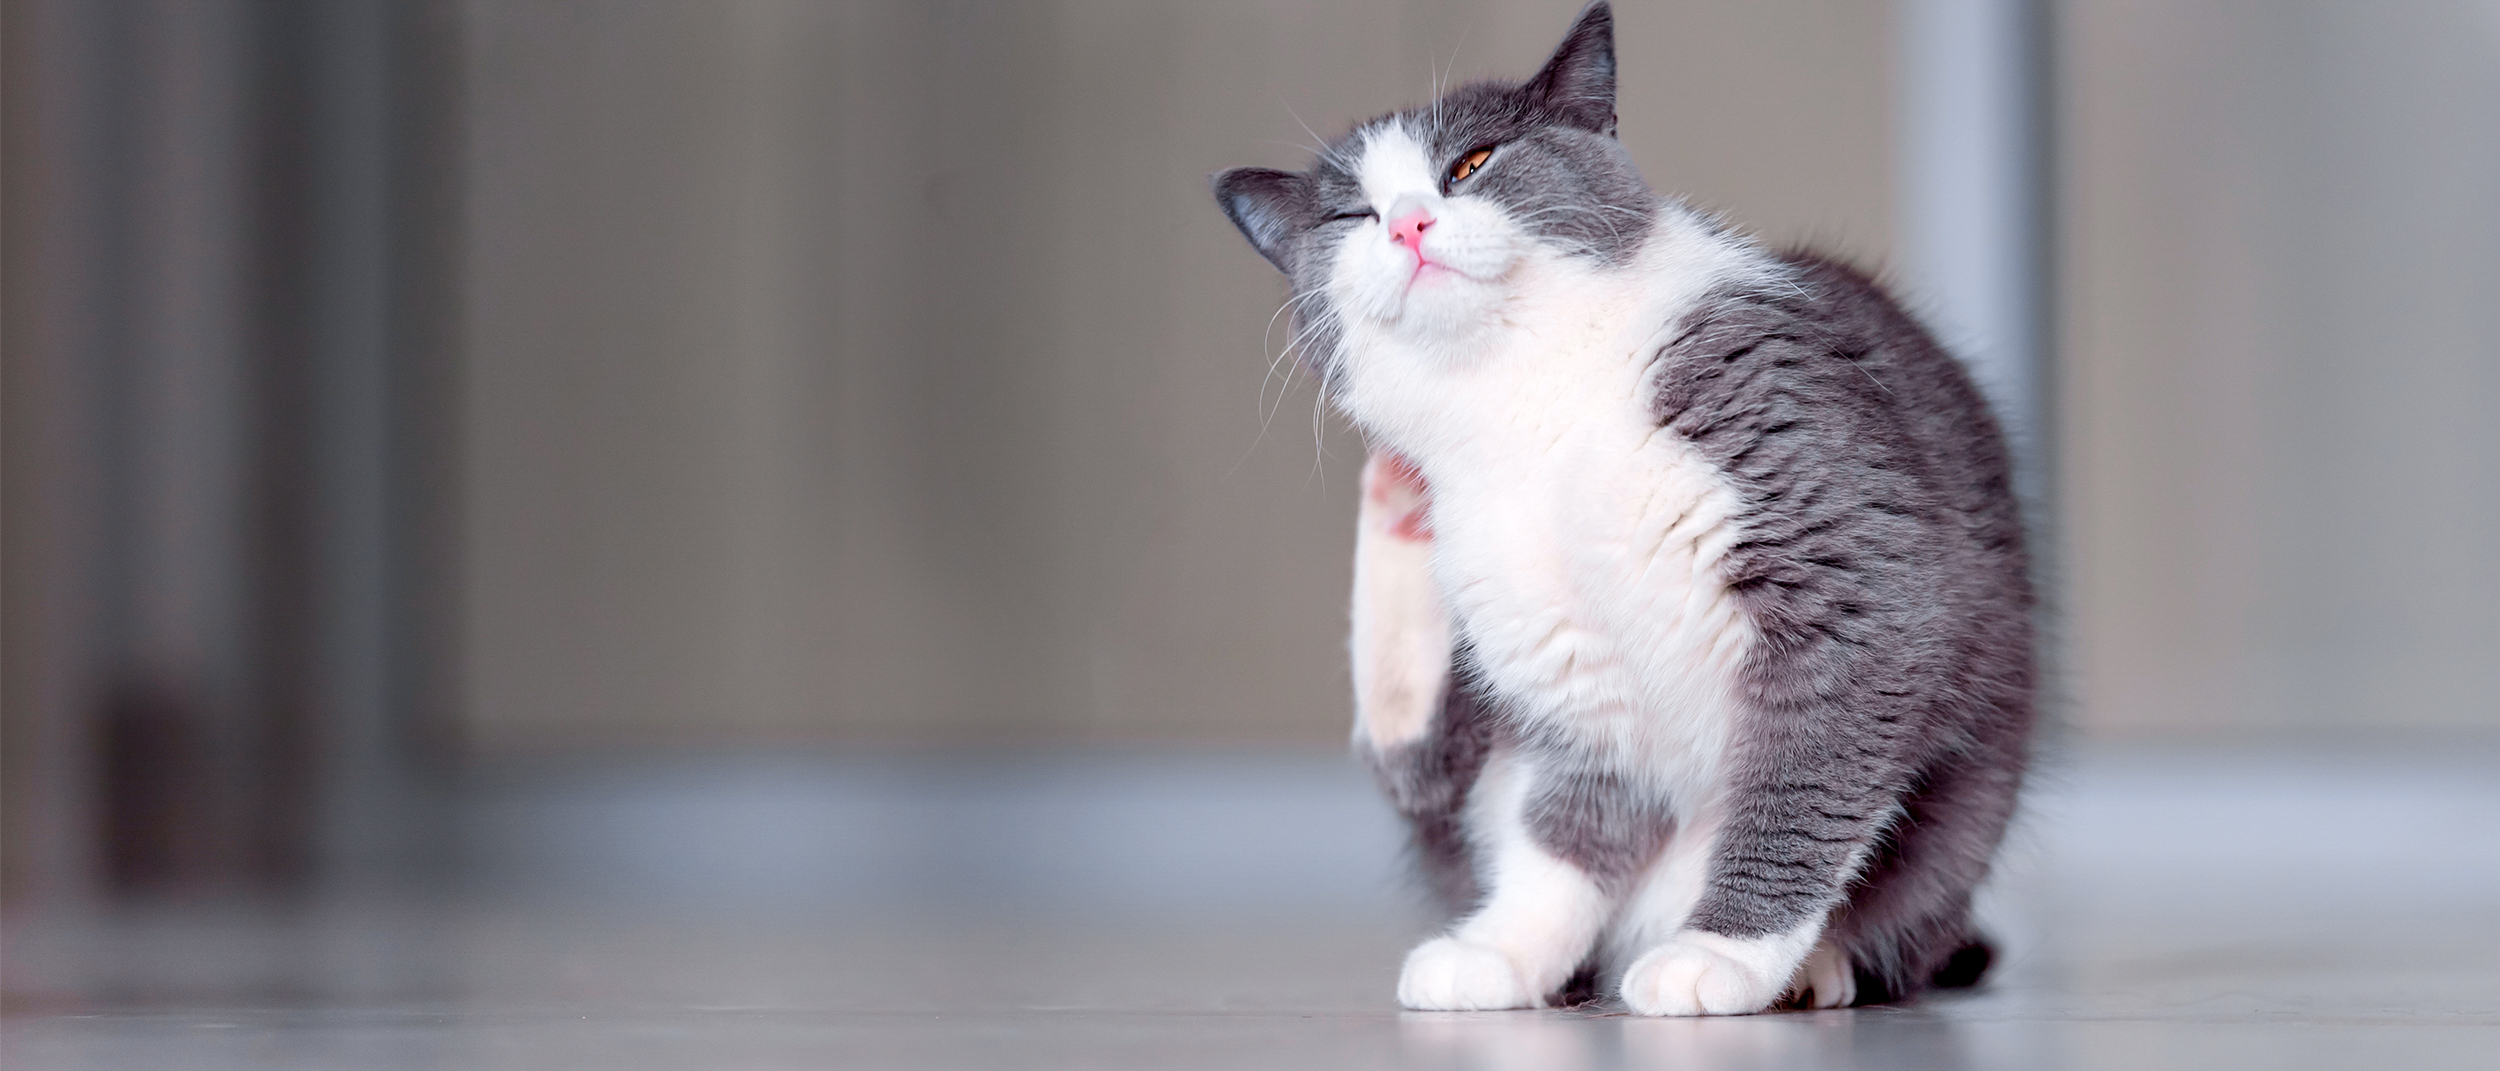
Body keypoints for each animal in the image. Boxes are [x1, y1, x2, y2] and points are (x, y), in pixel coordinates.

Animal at [1210, 4, 2030, 1015]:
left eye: (1471, 163)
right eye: (1350, 214)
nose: (1407, 223)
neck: (1528, 401)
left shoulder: (1842, 561)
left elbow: (1800, 789)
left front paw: (1721, 954)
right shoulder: (1561, 663)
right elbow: (1566, 832)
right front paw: (1503, 950)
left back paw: (1813, 970)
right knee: (1419, 766)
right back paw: (1398, 503)